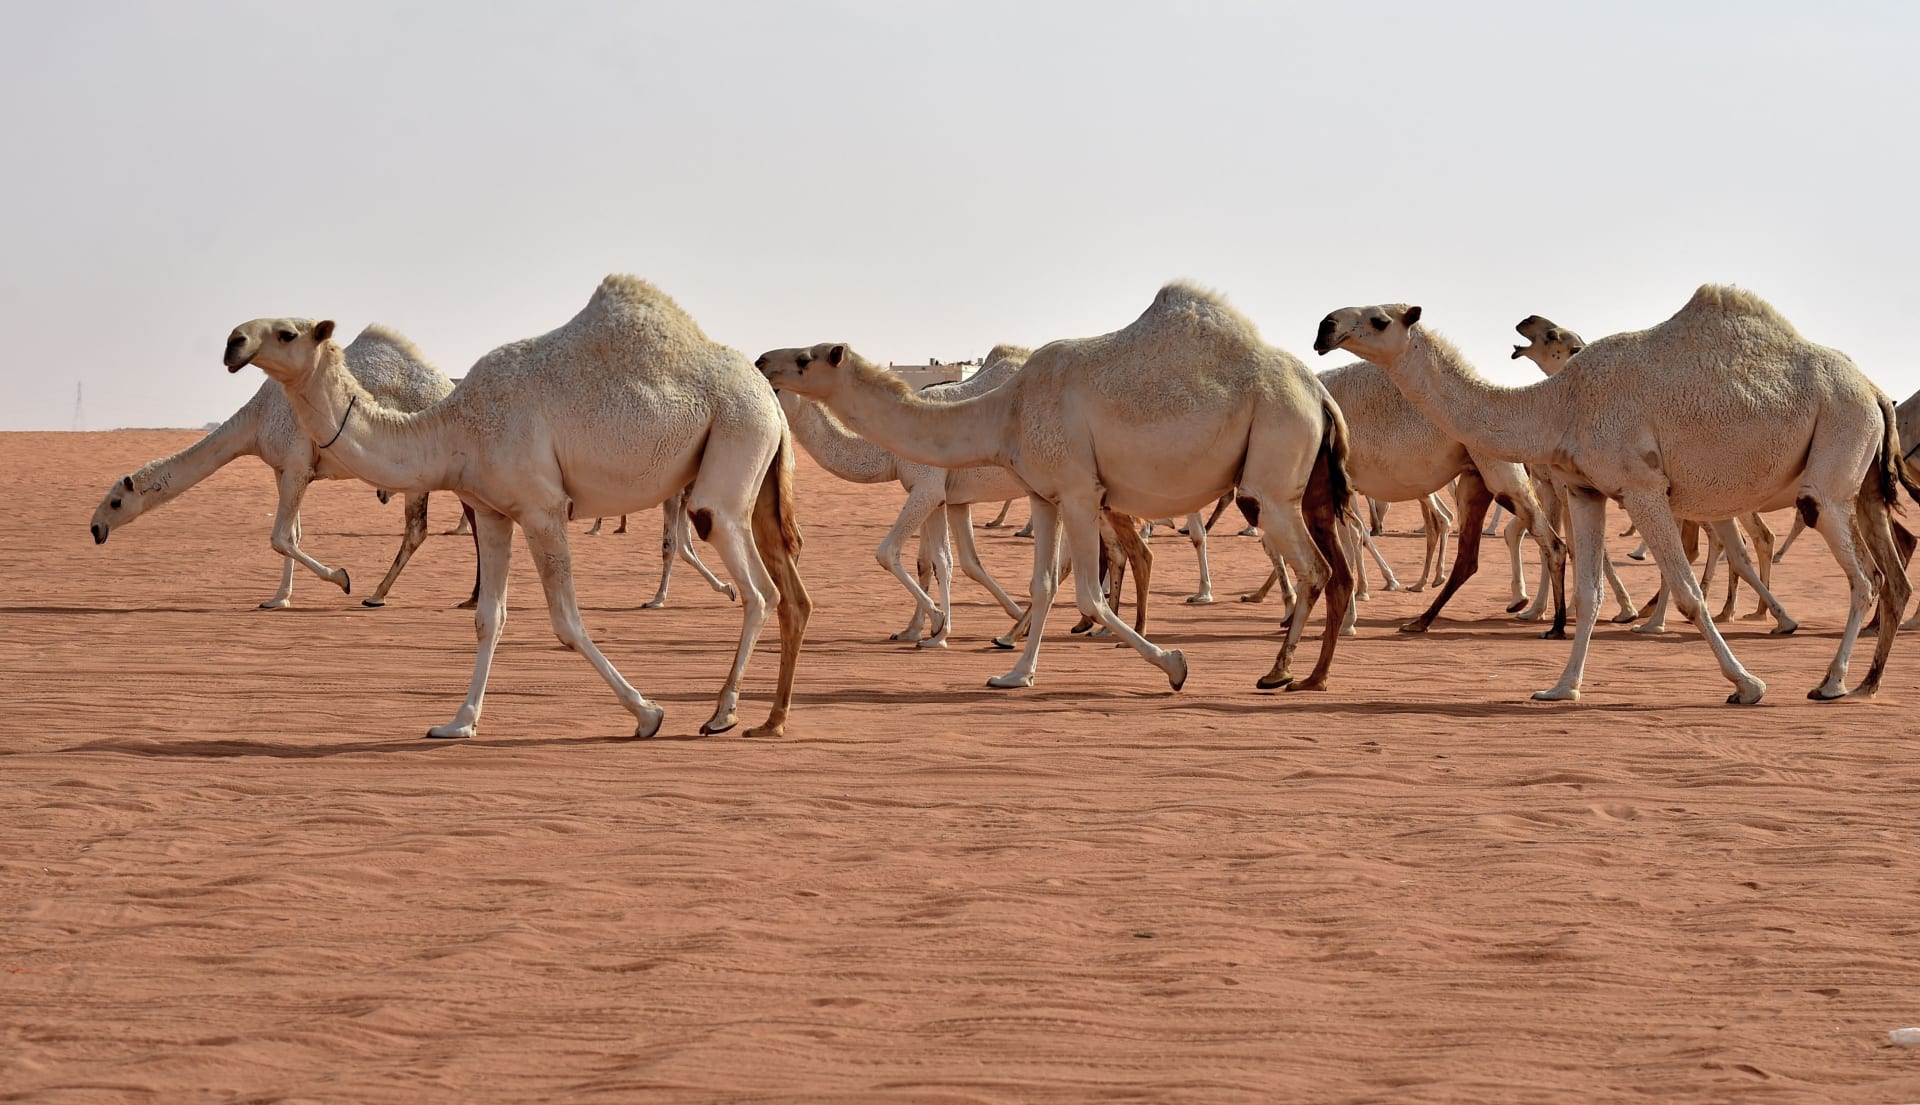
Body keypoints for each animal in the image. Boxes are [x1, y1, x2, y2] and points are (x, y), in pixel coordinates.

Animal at [91, 324, 466, 610]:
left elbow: (280, 537)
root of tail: (449, 387)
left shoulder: (298, 464)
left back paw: (377, 595)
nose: (95, 529)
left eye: (115, 502)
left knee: (416, 530)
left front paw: (342, 579)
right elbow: (293, 534)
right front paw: (278, 599)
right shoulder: (282, 467)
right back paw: (464, 600)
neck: (256, 421)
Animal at [226, 274, 810, 744]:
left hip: (734, 438)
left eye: (287, 333)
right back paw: (761, 717)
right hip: (753, 471)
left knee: (755, 584)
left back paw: (722, 714)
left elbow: (566, 622)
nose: (233, 342)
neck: (456, 429)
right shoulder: (492, 511)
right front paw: (458, 723)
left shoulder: (542, 506)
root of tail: (769, 396)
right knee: (784, 590)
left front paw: (647, 714)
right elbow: (489, 618)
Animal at [756, 280, 1359, 690]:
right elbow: (1042, 582)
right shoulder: (1042, 495)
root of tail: (1319, 394)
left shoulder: (1076, 490)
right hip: (1307, 484)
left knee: (1314, 567)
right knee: (1335, 567)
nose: (763, 358)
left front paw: (1174, 664)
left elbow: (1085, 588)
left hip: (1272, 469)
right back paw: (1312, 674)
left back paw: (1281, 671)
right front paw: (1014, 672)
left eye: (806, 357)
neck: (1005, 411)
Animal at [1313, 282, 1912, 698]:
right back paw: (1866, 682)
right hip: (1861, 482)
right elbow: (1589, 592)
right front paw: (1561, 688)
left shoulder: (1642, 486)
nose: (1325, 326)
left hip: (1834, 457)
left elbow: (1689, 592)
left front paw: (1748, 686)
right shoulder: (1586, 490)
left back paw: (1831, 682)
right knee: (1890, 575)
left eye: (1379, 318)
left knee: (1864, 576)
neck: (1561, 403)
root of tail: (1874, 389)